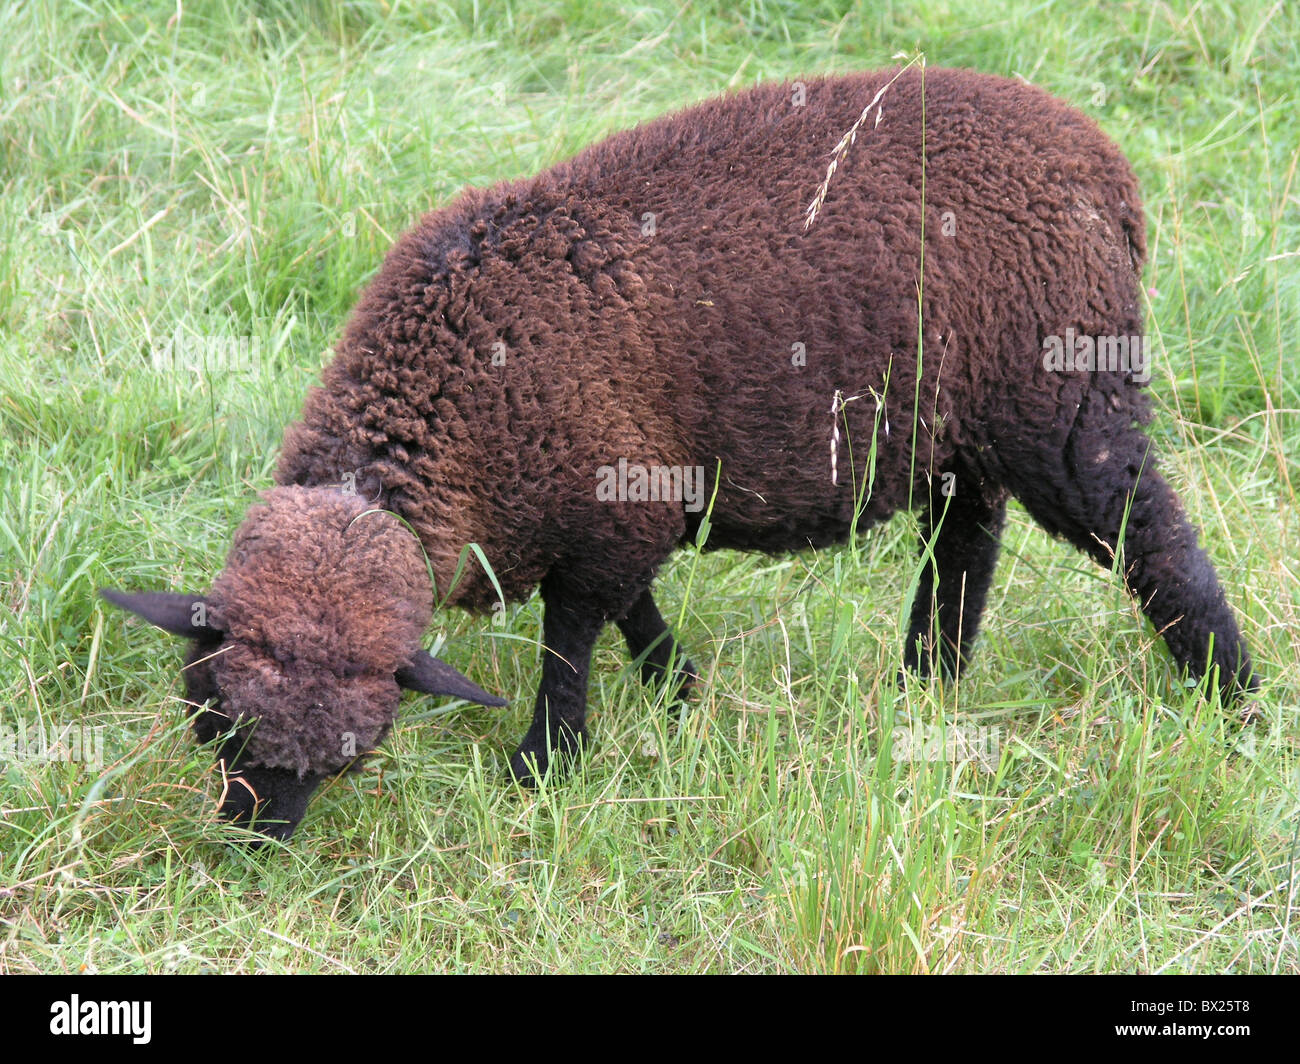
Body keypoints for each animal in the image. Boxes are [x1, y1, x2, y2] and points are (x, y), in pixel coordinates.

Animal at [106, 70, 1253, 842]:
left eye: (357, 751)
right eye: (212, 718)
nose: (253, 836)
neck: (454, 396)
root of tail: (1105, 170)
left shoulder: (608, 505)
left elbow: (573, 637)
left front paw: (546, 766)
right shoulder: (619, 507)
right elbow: (630, 607)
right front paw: (678, 688)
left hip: (1063, 400)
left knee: (1150, 535)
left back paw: (1229, 692)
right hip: (957, 423)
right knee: (964, 540)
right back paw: (926, 682)